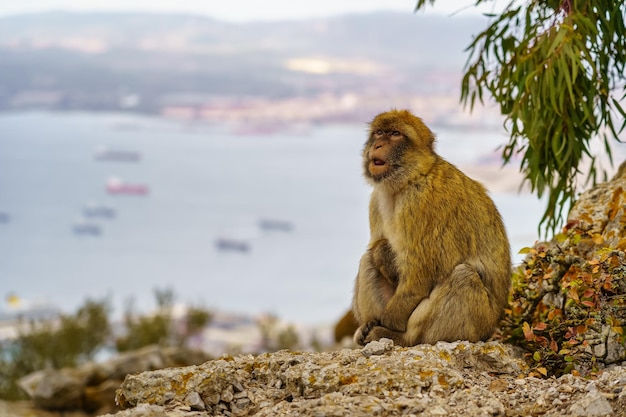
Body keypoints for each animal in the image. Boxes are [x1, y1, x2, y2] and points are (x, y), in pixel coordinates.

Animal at [348, 109, 510, 346]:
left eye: (395, 134)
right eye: (379, 133)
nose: (377, 146)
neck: (407, 181)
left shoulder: (421, 203)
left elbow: (420, 274)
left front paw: (390, 323)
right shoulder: (376, 201)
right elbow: (379, 249)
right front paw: (383, 254)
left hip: (477, 326)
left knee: (463, 278)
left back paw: (398, 337)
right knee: (367, 259)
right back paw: (368, 326)